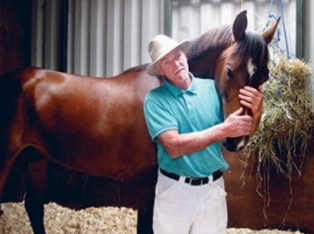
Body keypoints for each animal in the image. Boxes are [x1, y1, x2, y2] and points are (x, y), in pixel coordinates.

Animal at [0, 11, 280, 234]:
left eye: (264, 76)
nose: (237, 140)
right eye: (230, 70)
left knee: (34, 207)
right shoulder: (147, 180)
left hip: (36, 158)